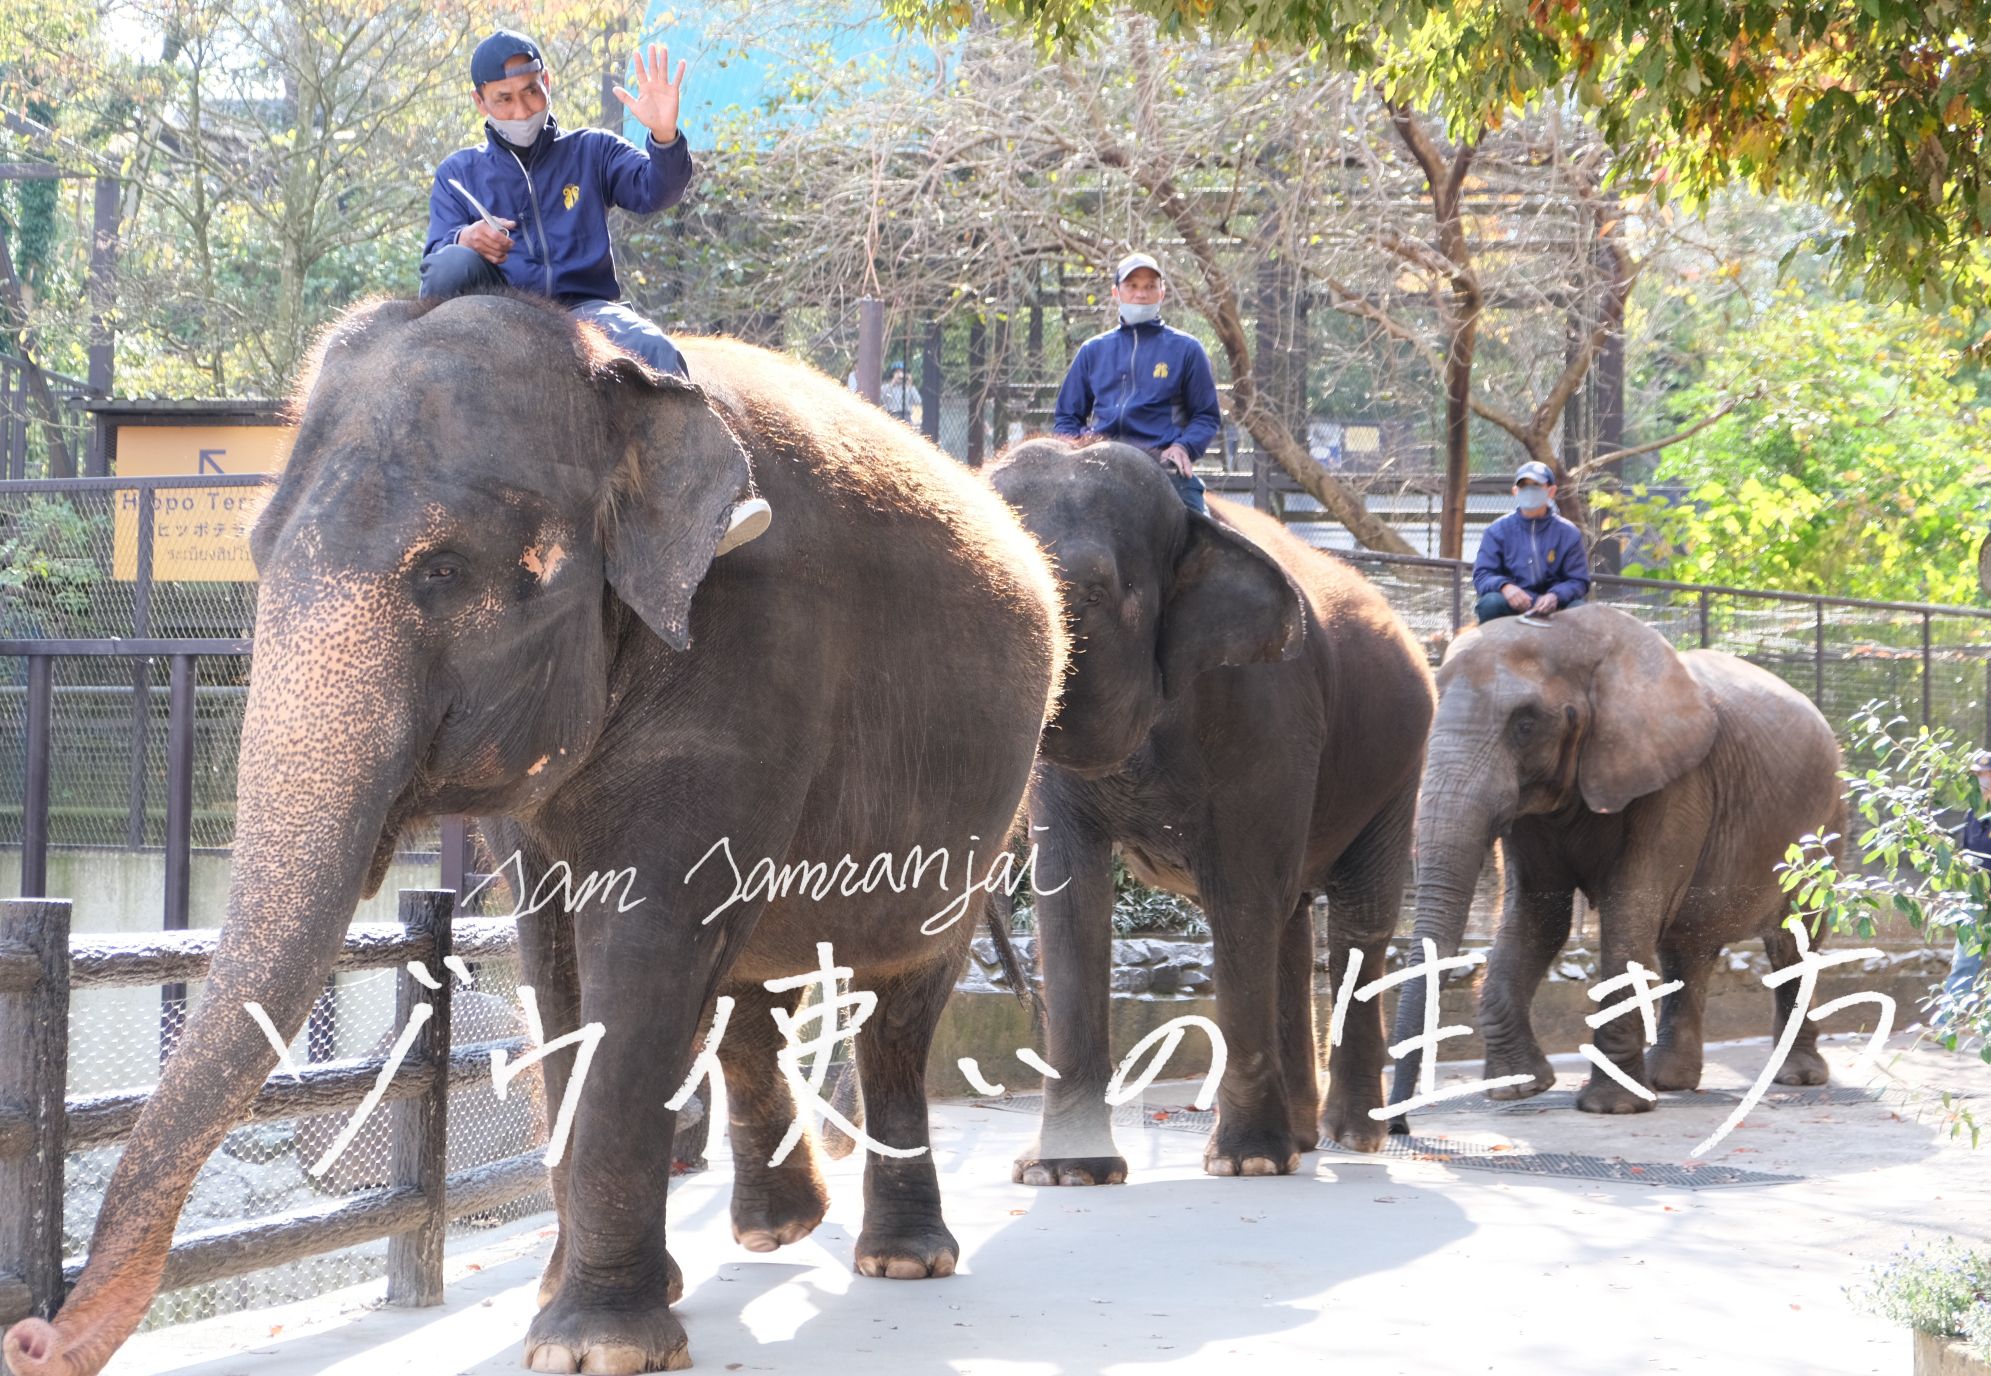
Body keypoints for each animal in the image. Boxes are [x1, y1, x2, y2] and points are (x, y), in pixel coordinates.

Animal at [3, 292, 1064, 1376]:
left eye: (441, 570)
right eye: (255, 552)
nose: (36, 1334)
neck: (621, 395)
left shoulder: (753, 660)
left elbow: (645, 945)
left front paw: (595, 1344)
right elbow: (553, 961)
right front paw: (579, 1301)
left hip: (990, 802)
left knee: (899, 1000)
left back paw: (901, 1258)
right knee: (753, 984)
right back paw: (776, 1229)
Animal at [985, 439, 1435, 1184]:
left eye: (1095, 592)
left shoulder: (1265, 705)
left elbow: (1241, 893)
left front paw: (1245, 1163)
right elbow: (1069, 895)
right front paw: (1065, 1173)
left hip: (1400, 759)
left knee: (1357, 920)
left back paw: (1348, 1137)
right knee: (1291, 919)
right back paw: (1302, 1137)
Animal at [1386, 602, 1847, 1124]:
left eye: (1525, 725)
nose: (1397, 1125)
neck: (1575, 634)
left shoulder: (1676, 783)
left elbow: (1630, 911)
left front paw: (1613, 1107)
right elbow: (1538, 915)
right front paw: (1520, 1089)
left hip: (1826, 826)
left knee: (1795, 940)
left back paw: (1798, 1078)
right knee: (1687, 945)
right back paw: (1671, 1081)